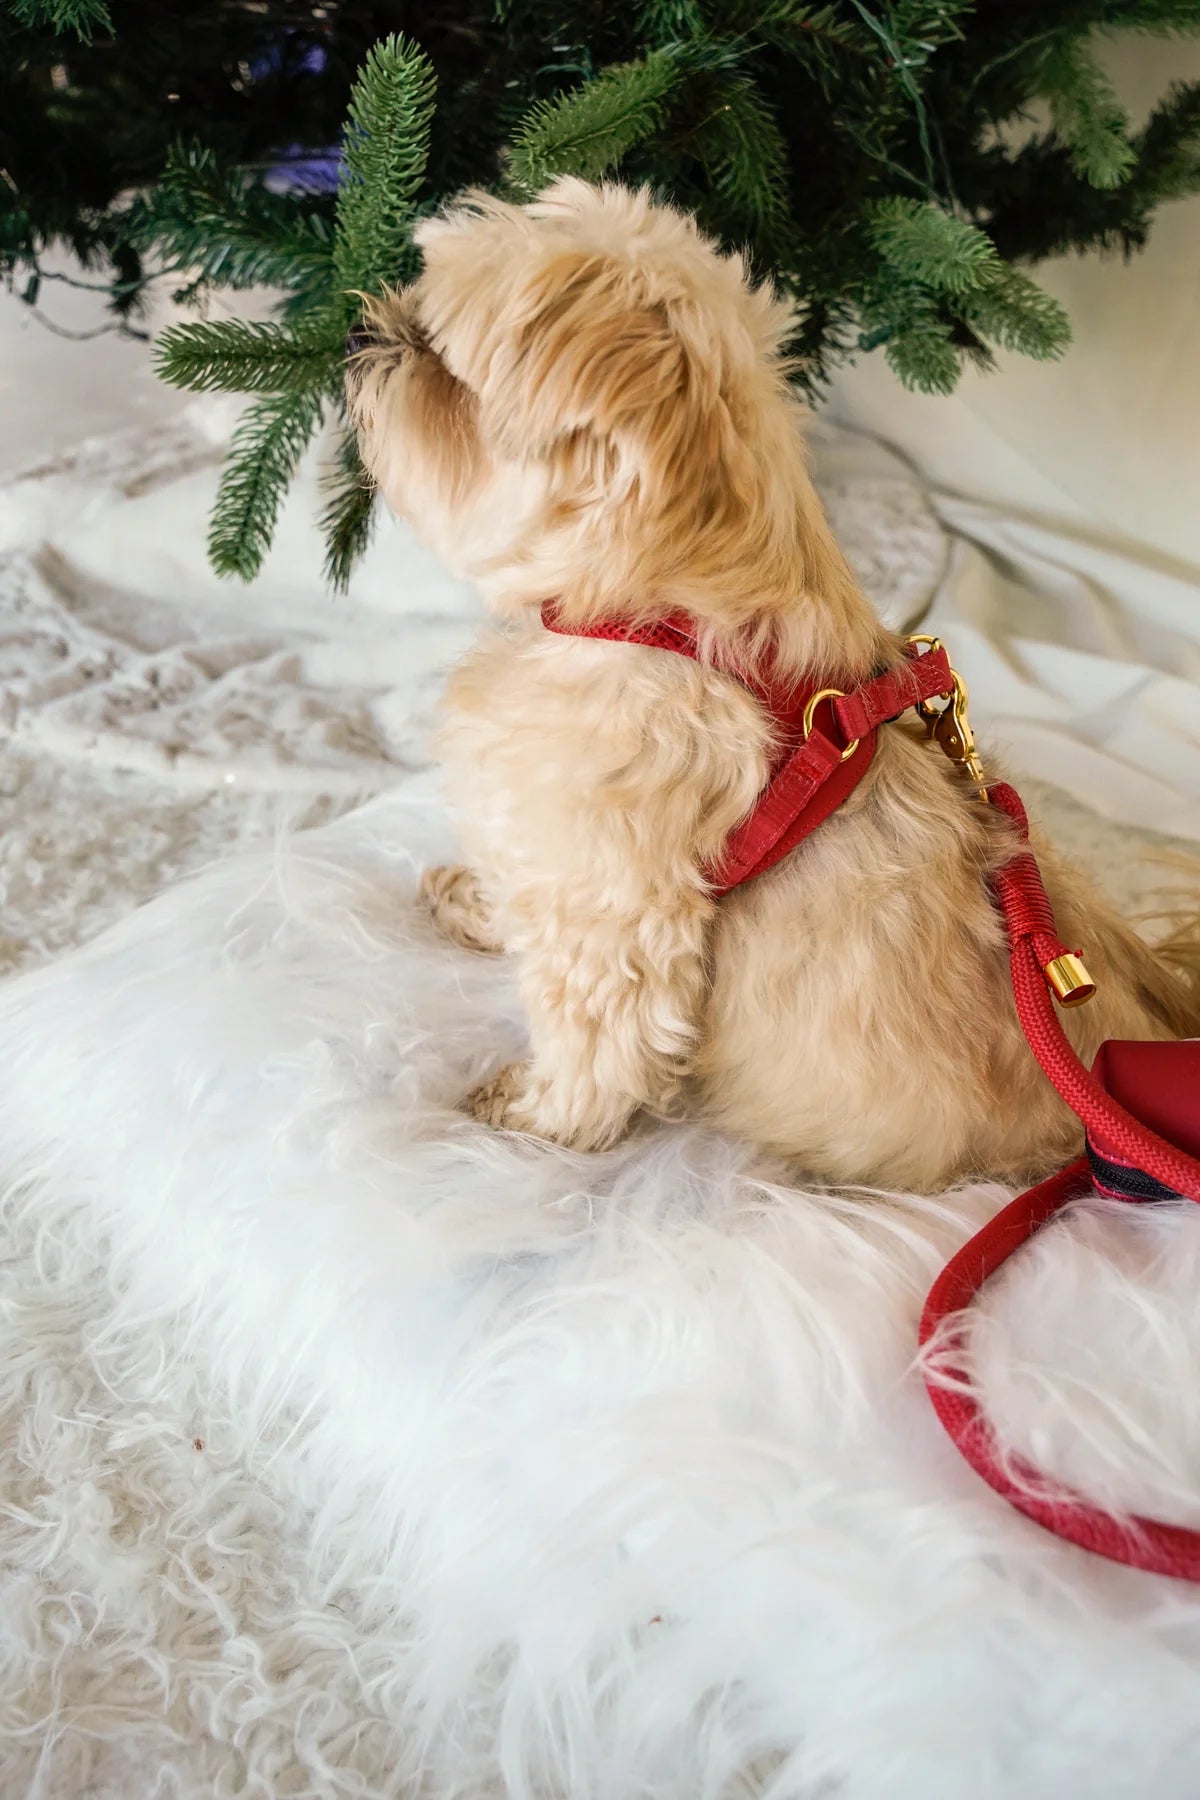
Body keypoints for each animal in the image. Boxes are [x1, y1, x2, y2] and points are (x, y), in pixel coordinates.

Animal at [347, 179, 1200, 1195]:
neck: (669, 625)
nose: (359, 333)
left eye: (437, 354)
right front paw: (477, 903)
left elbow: (591, 1043)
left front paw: (531, 1115)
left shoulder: (614, 917)